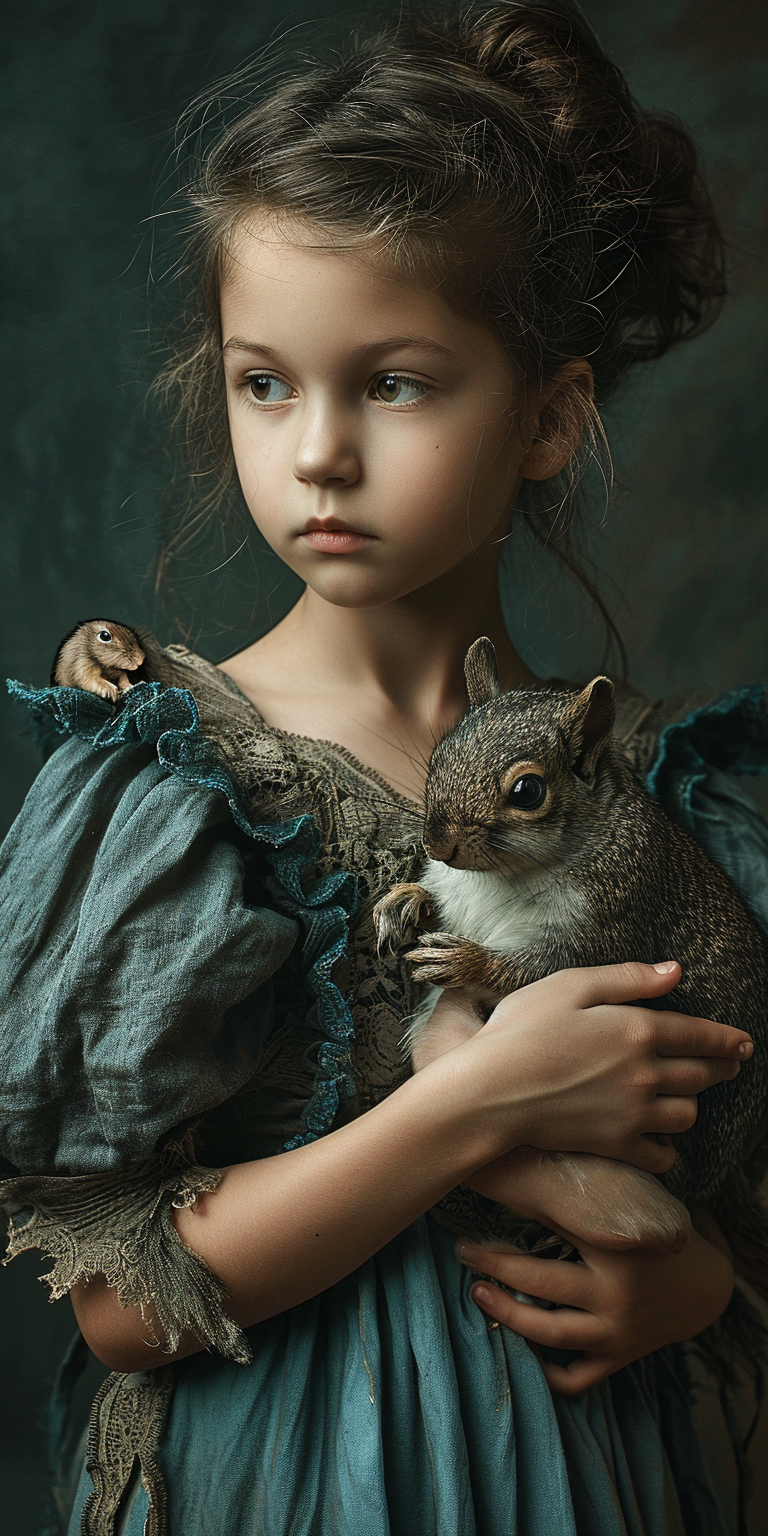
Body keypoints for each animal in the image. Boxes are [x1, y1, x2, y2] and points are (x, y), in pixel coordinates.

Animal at [373, 635, 768, 1284]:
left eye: (527, 791)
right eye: (441, 753)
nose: (436, 843)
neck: (500, 874)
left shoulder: (609, 930)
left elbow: (536, 971)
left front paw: (467, 963)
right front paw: (404, 900)